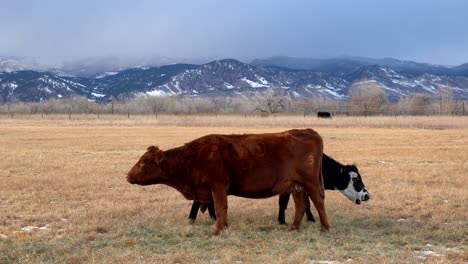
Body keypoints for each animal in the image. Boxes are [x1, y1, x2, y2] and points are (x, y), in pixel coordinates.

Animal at [126, 129, 328, 234]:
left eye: (142, 161)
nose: (128, 176)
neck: (194, 157)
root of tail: (307, 131)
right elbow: (218, 208)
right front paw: (223, 226)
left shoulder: (218, 186)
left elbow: (220, 207)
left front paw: (217, 230)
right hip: (297, 186)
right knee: (301, 205)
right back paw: (294, 228)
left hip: (311, 183)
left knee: (318, 201)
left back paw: (325, 228)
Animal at [188, 154, 372, 224]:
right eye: (355, 179)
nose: (367, 195)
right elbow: (284, 204)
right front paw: (282, 221)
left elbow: (306, 203)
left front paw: (310, 219)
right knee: (198, 202)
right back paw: (192, 219)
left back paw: (213, 218)